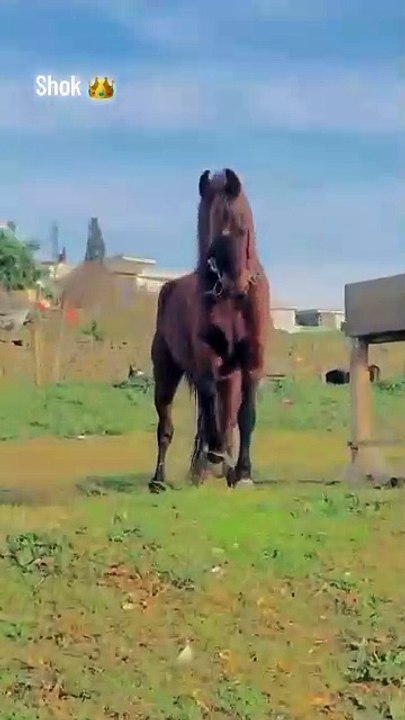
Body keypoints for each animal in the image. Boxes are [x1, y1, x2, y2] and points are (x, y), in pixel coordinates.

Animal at [149, 168, 270, 493]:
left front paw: (242, 473)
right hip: (166, 374)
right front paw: (217, 457)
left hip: (228, 377)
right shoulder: (206, 360)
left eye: (242, 226)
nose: (234, 285)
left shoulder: (250, 365)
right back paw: (161, 479)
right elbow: (211, 410)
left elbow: (244, 417)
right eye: (212, 229)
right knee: (167, 426)